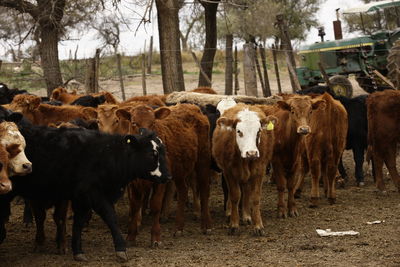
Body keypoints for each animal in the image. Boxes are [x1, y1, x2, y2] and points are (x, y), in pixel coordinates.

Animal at [0, 109, 170, 264]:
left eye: (163, 152)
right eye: (152, 154)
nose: (168, 177)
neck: (106, 154)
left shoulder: (82, 199)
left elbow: (78, 222)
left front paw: (77, 251)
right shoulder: (93, 194)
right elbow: (110, 217)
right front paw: (121, 249)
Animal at [212, 103, 276, 236]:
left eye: (259, 131)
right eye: (239, 131)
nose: (251, 153)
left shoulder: (259, 171)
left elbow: (255, 197)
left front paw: (258, 225)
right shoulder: (229, 172)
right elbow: (235, 196)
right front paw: (234, 224)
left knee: (246, 191)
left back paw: (246, 216)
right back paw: (229, 212)